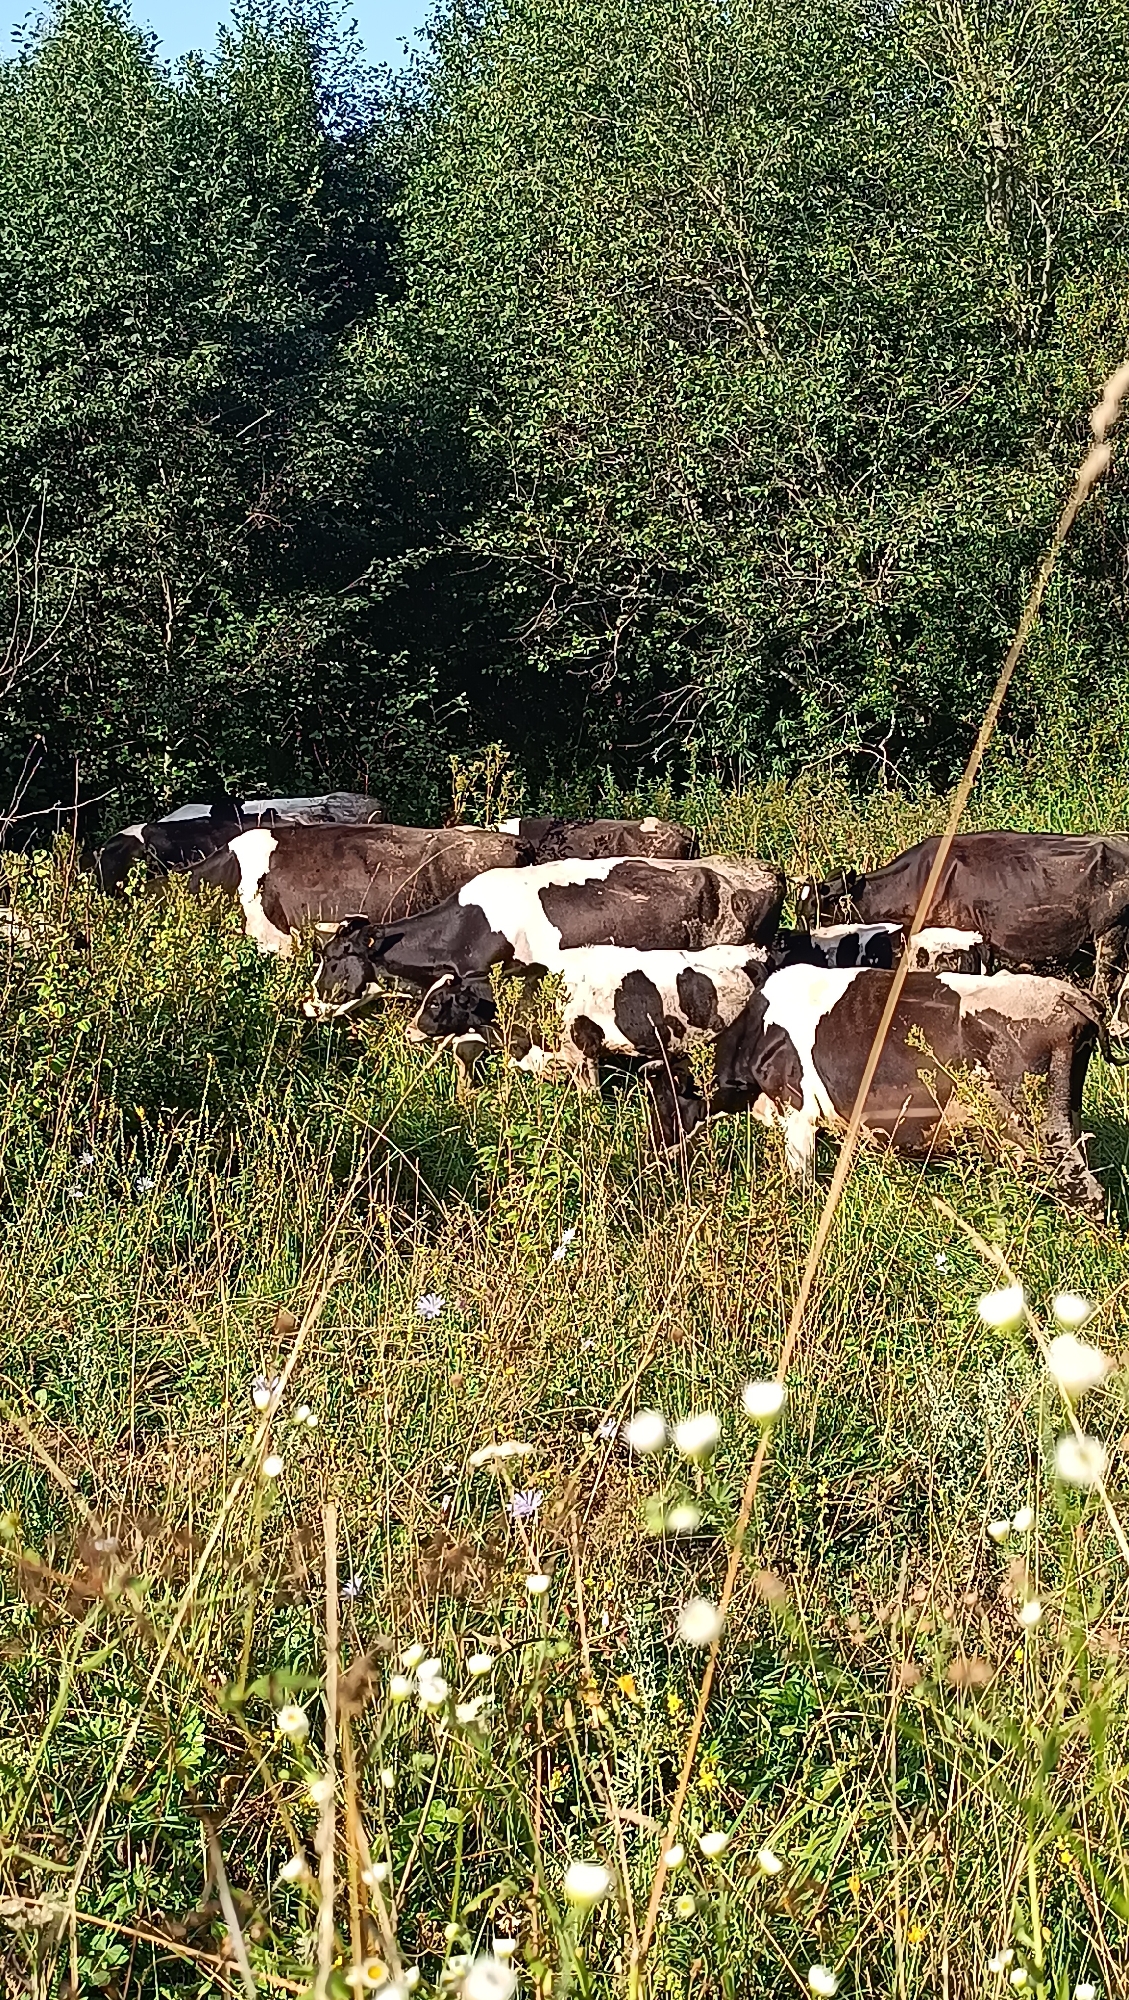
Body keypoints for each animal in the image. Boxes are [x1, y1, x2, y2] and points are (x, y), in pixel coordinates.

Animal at [648, 963, 1104, 1215]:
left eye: (663, 1100)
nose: (653, 1158)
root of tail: (1064, 993)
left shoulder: (797, 1113)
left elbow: (800, 1183)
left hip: (1042, 1129)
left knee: (1089, 1193)